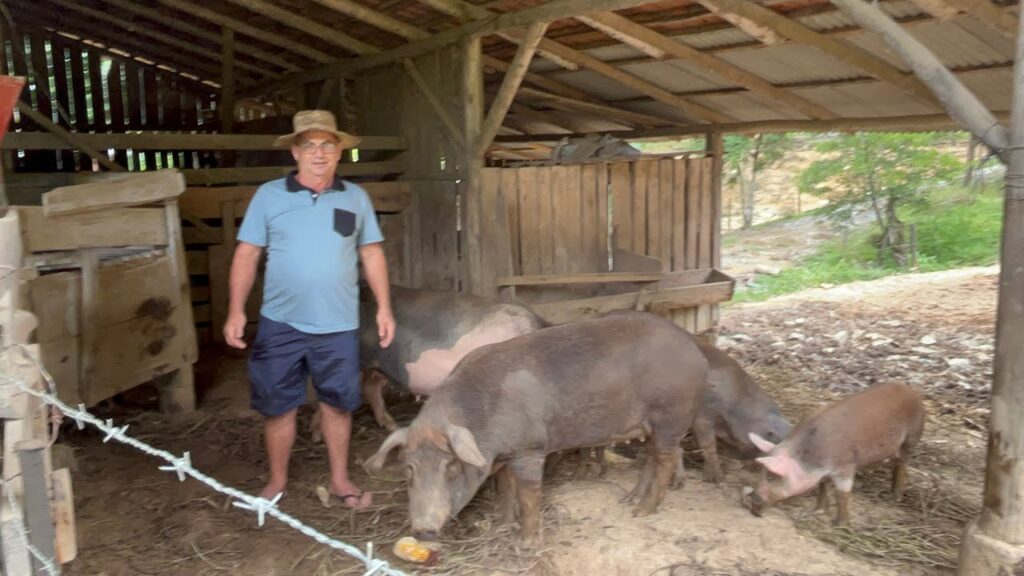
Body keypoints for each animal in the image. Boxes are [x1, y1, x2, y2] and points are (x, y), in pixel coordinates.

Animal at [364, 309, 708, 537]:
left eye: (450, 466)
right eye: (409, 469)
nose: (423, 529)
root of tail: (693, 347)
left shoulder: (529, 448)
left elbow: (529, 493)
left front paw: (526, 538)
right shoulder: (504, 455)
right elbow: (505, 487)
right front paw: (503, 522)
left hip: (671, 415)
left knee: (665, 459)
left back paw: (642, 511)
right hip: (650, 424)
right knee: (652, 457)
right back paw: (629, 500)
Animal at [741, 381, 925, 524]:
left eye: (772, 477)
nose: (751, 499)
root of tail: (910, 390)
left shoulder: (845, 465)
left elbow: (842, 493)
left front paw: (840, 524)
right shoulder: (824, 472)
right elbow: (823, 486)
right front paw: (818, 511)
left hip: (912, 436)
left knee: (902, 463)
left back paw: (896, 497)